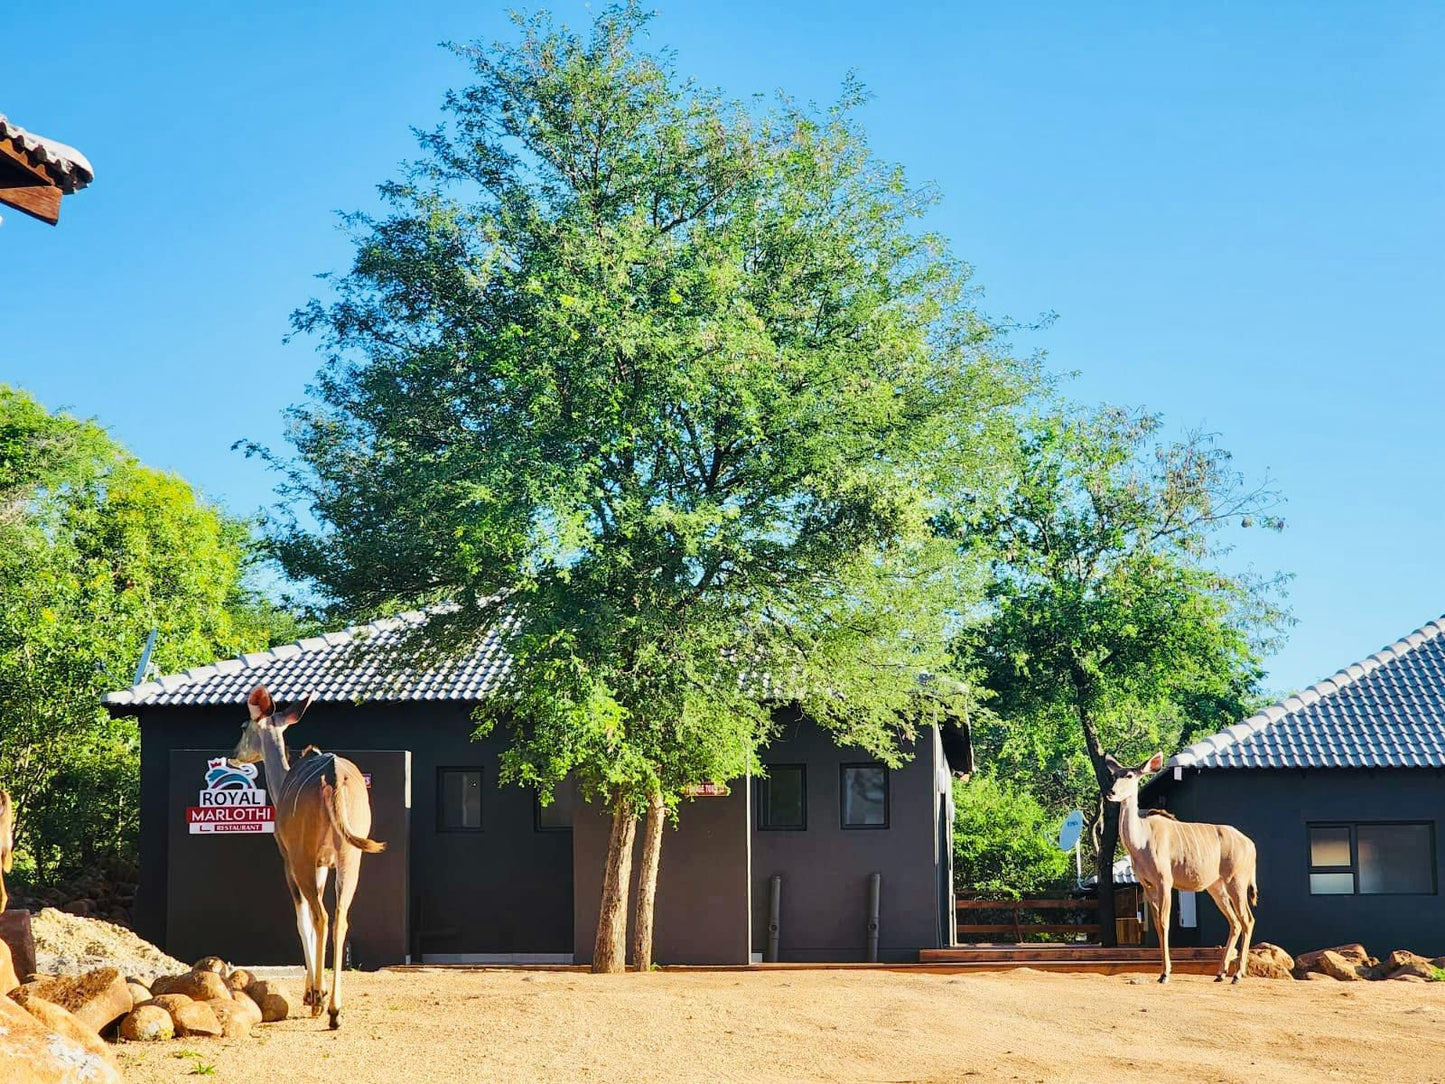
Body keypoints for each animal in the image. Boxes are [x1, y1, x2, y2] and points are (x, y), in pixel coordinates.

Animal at [228, 682, 384, 1029]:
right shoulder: (324, 864)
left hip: (303, 858)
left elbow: (304, 920)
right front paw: (319, 993)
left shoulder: (291, 861)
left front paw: (313, 995)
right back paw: (336, 1009)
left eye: (243, 726)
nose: (233, 756)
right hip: (350, 858)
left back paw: (324, 1005)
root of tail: (335, 777)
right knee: (340, 917)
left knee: (321, 915)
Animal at [1103, 757, 1254, 982]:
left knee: (1247, 920)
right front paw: (1163, 971)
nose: (1111, 792)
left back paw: (1237, 975)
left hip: (1237, 882)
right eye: (1114, 775)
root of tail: (1250, 845)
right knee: (1235, 922)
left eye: (1129, 775)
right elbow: (1157, 924)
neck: (1141, 841)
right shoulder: (1147, 886)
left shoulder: (1164, 882)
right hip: (1216, 888)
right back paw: (1220, 973)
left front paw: (1165, 974)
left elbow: (1164, 922)